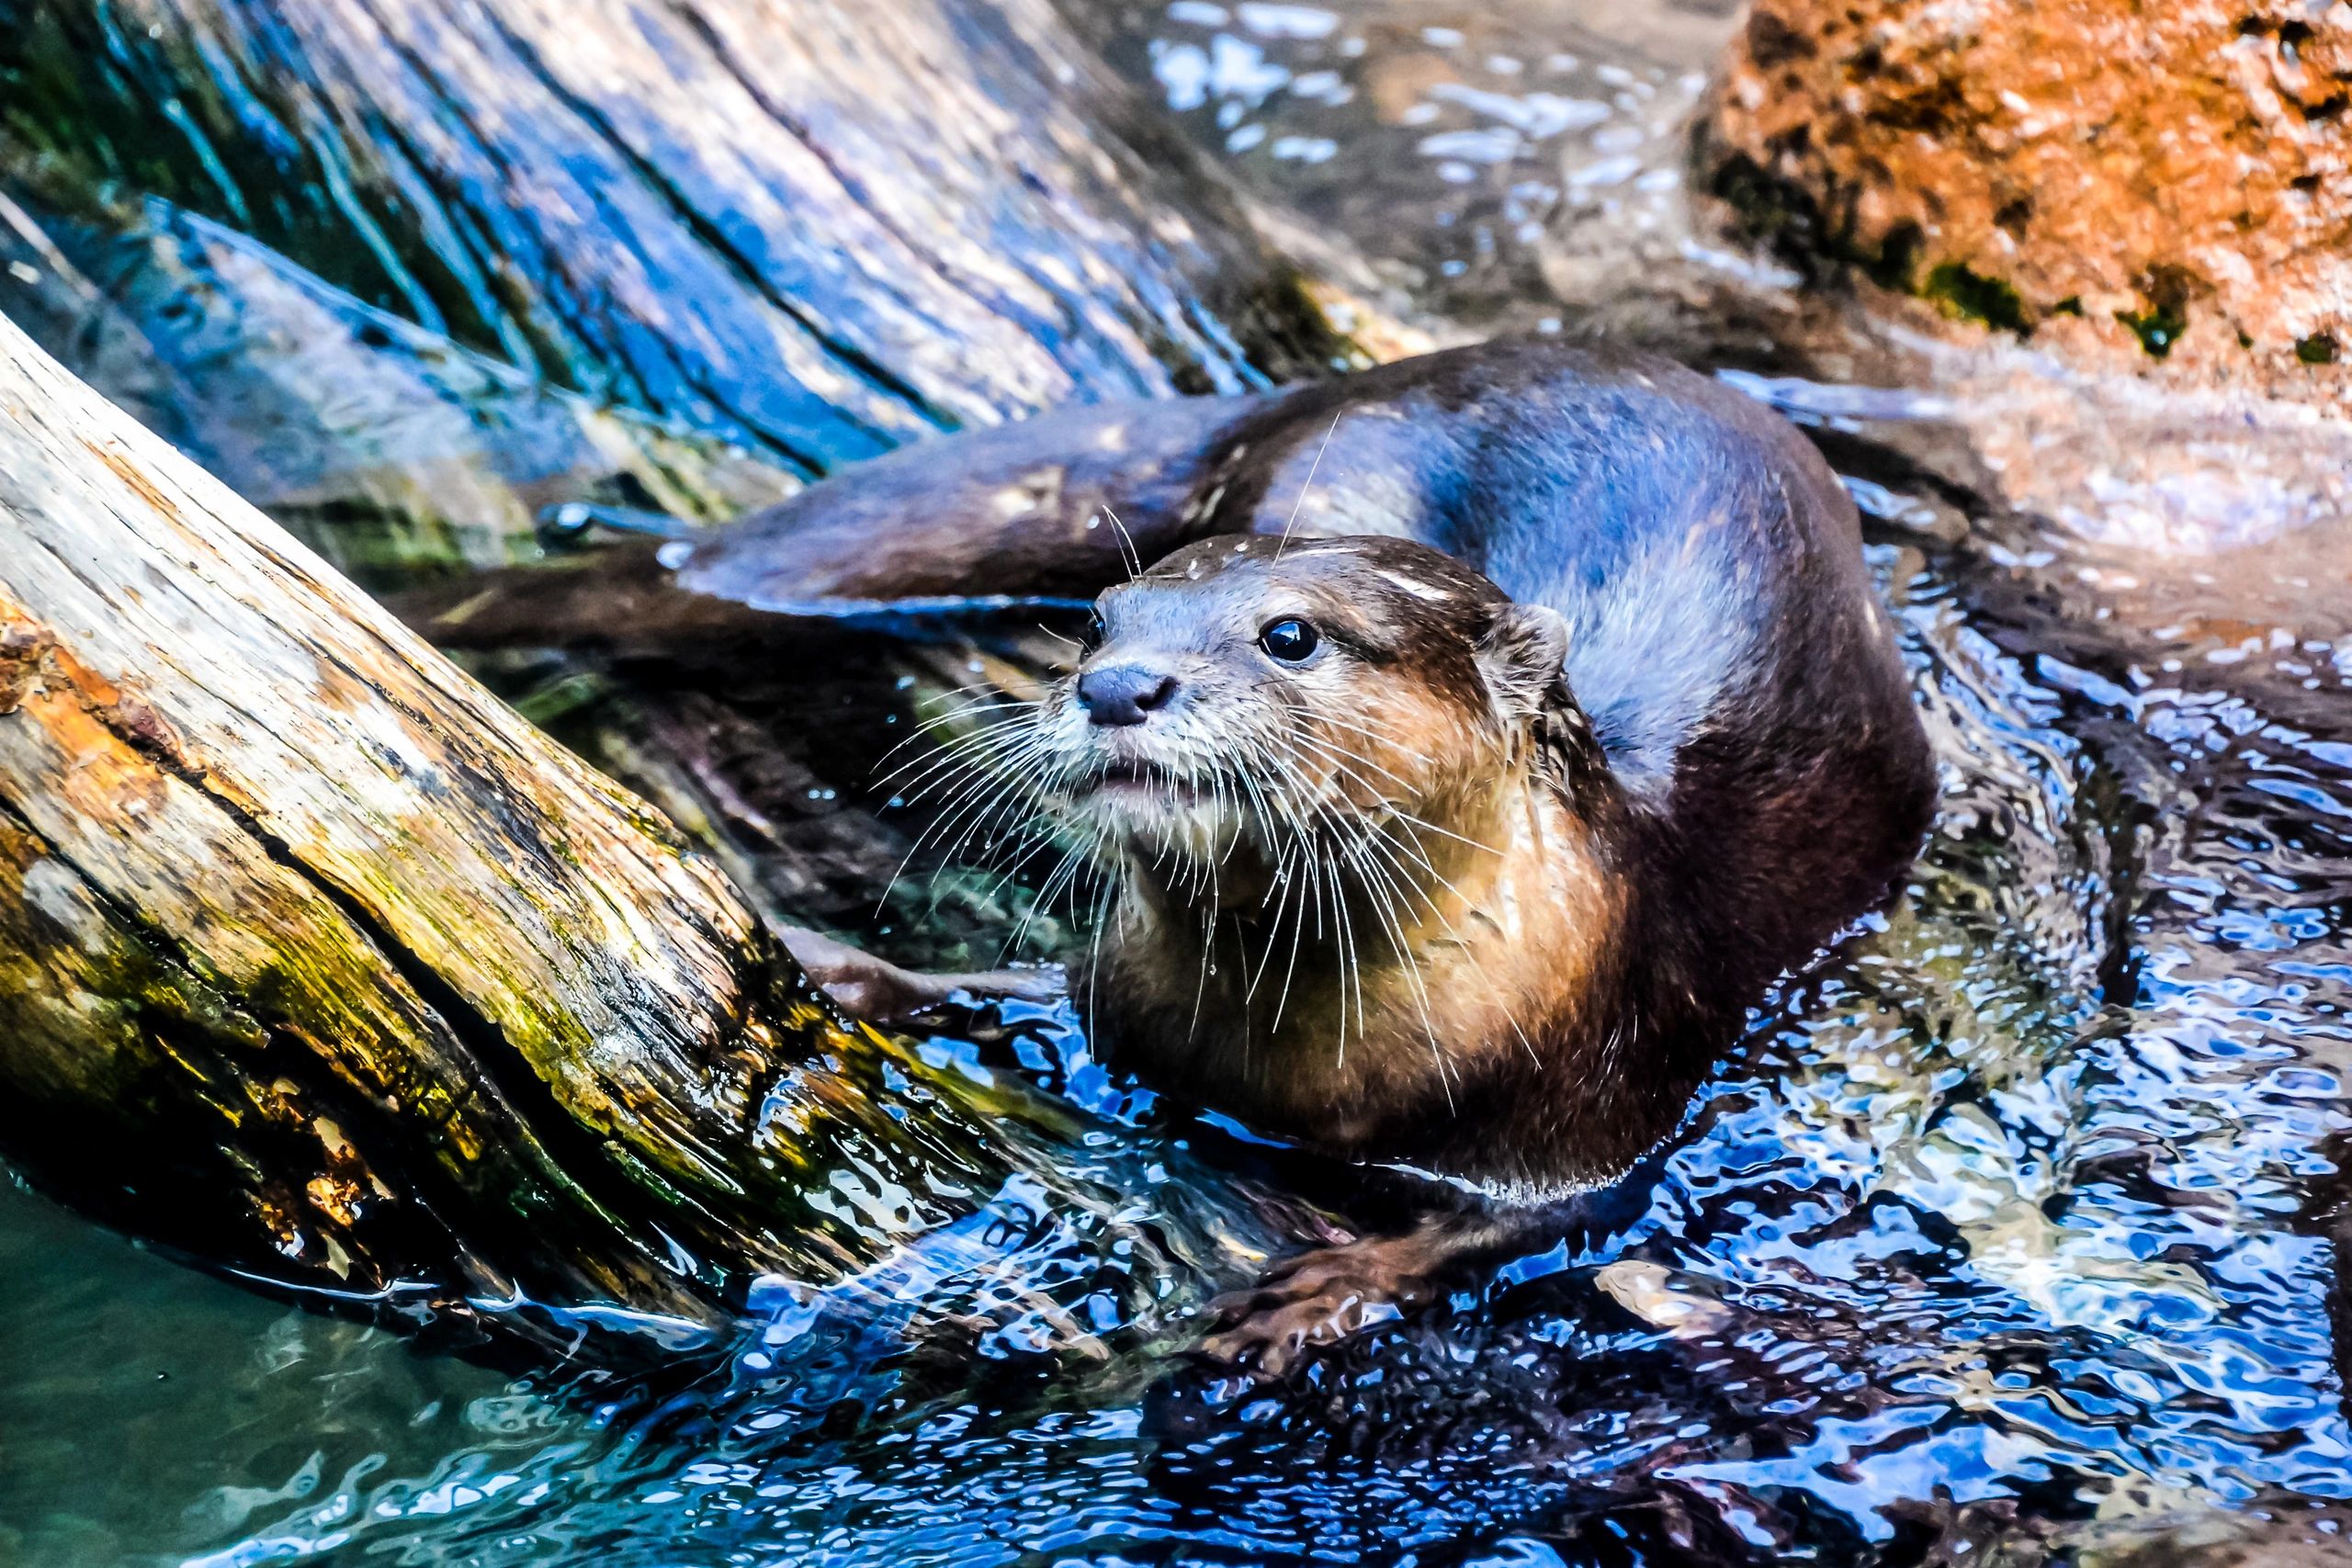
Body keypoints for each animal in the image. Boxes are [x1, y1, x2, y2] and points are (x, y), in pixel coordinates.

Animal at [435, 341, 1935, 1370]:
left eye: (1290, 634)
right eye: (1100, 622)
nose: (1119, 685)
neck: (1307, 1069)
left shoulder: (1608, 1085)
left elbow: (1517, 1226)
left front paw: (1326, 1290)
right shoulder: (1119, 1003)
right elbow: (1008, 994)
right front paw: (832, 972)